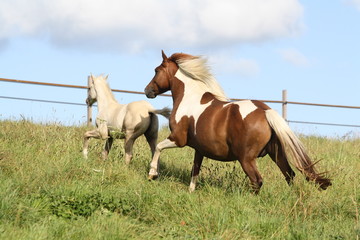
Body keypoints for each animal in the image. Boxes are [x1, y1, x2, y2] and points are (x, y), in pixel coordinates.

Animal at [145, 50, 330, 193]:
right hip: (276, 153)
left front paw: (152, 174)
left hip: (246, 158)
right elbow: (194, 171)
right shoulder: (200, 149)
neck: (190, 99)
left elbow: (158, 148)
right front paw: (190, 192)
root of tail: (265, 111)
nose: (147, 90)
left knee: (257, 180)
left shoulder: (178, 138)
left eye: (156, 70)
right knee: (289, 175)